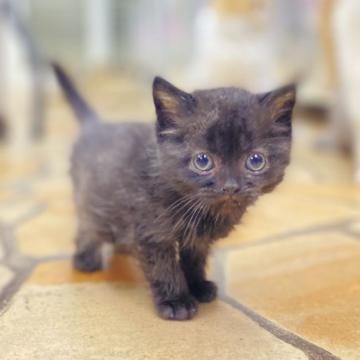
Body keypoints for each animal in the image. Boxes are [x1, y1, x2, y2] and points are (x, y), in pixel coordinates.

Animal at [52, 64, 296, 320]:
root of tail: (96, 125)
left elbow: (194, 260)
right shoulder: (153, 234)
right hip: (88, 196)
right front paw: (176, 300)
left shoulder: (198, 239)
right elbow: (164, 267)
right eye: (202, 160)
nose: (230, 186)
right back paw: (86, 258)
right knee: (88, 223)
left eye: (255, 161)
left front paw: (197, 285)